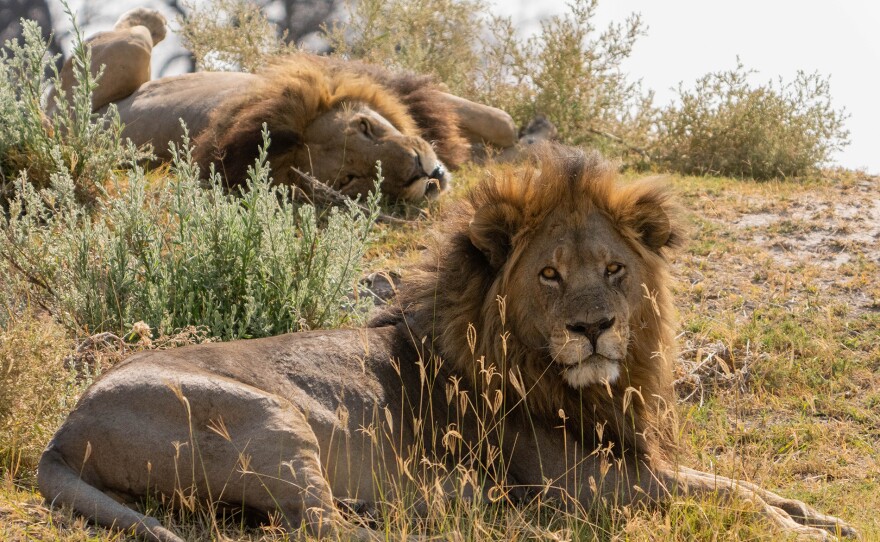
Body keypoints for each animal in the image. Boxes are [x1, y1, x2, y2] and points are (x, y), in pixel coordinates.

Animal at [37, 145, 856, 541]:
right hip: (272, 421)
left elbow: (737, 484)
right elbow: (726, 497)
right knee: (319, 529)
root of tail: (61, 433)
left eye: (614, 270)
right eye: (550, 275)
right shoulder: (591, 486)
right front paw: (797, 532)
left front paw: (823, 516)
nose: (593, 327)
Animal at [49, 9, 518, 200]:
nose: (421, 171)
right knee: (135, 33)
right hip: (119, 61)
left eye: (367, 127)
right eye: (351, 179)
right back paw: (153, 17)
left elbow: (503, 121)